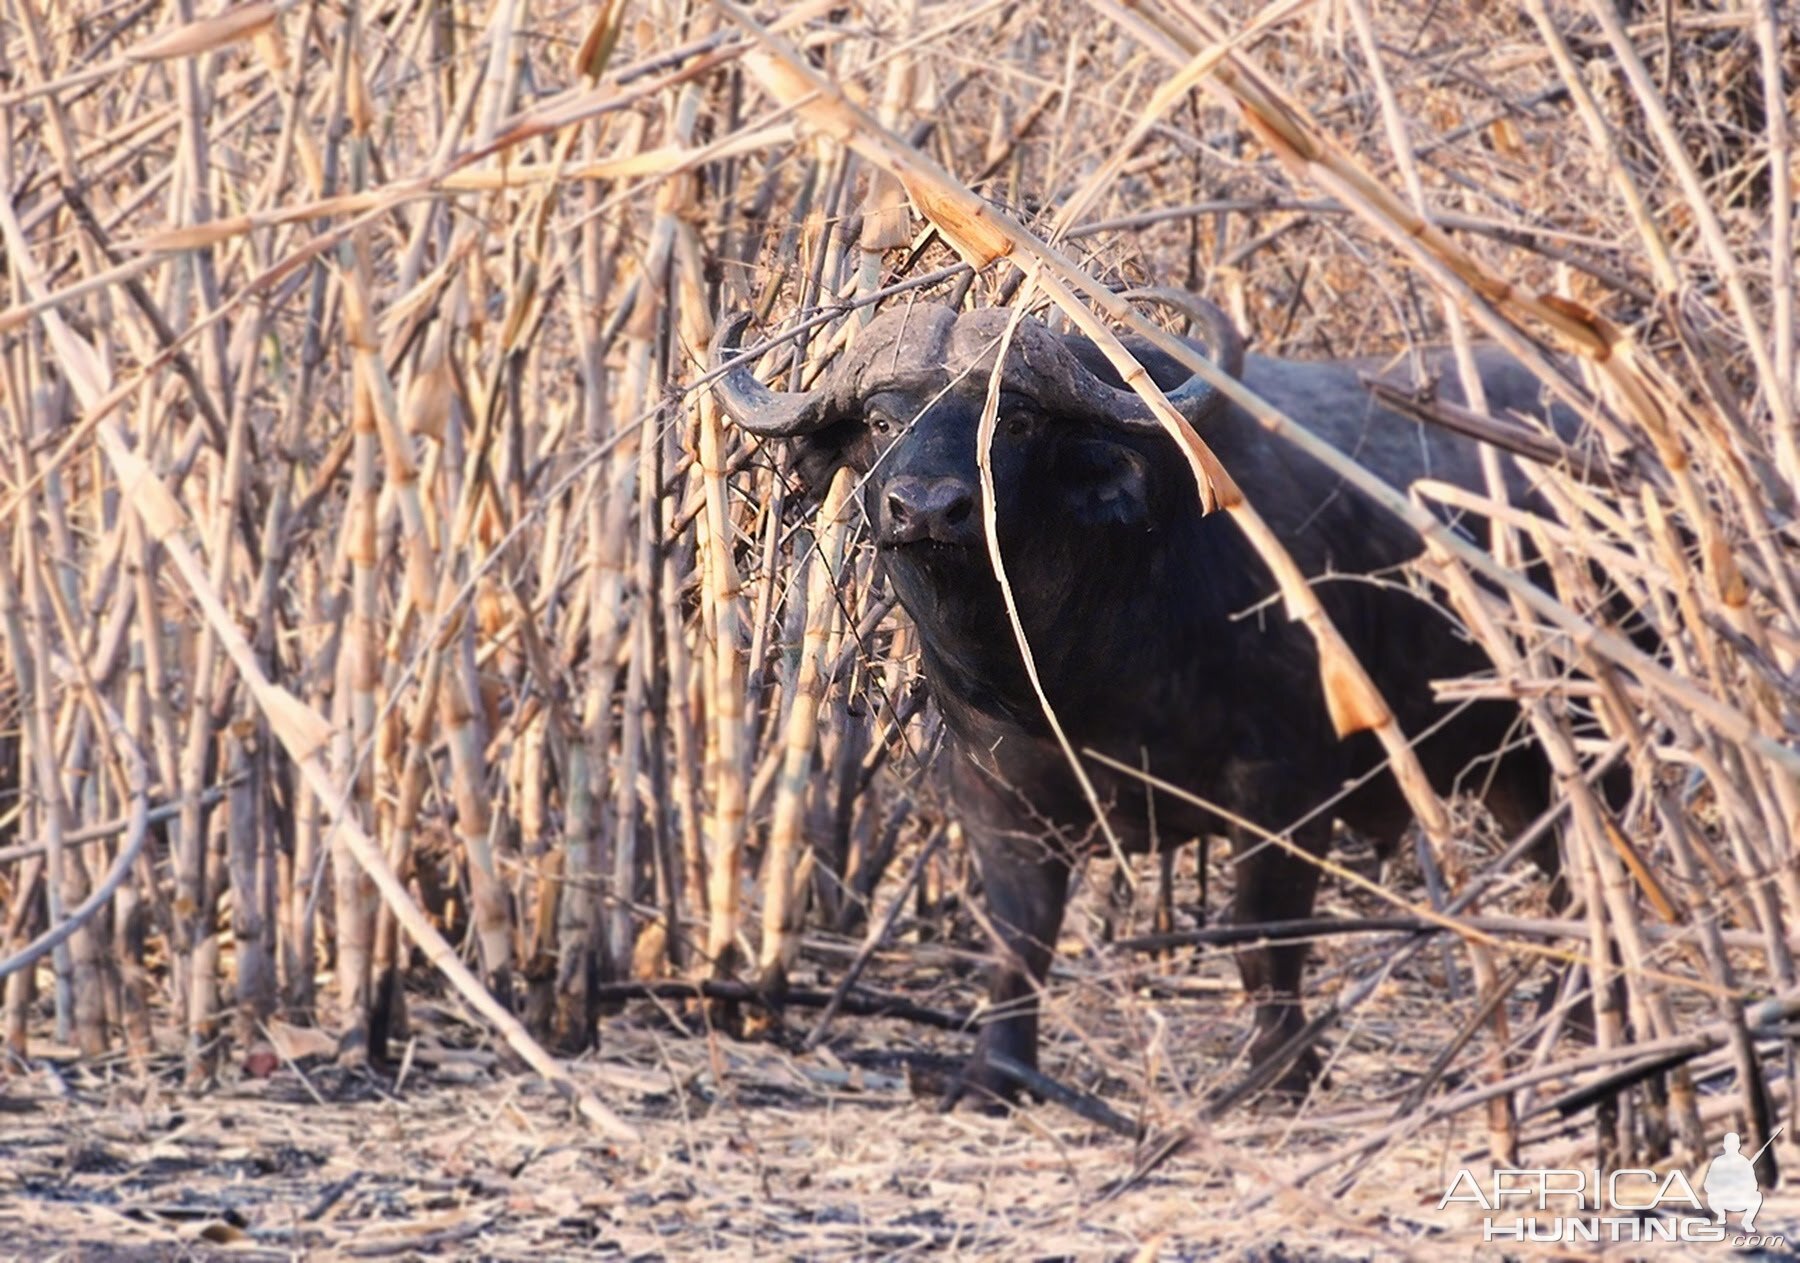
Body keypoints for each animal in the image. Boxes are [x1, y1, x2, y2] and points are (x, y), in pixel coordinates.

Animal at [702, 298, 1562, 1108]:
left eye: (1012, 421)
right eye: (883, 419)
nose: (927, 510)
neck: (1075, 665)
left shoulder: (1285, 794)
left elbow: (1265, 939)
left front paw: (1281, 1075)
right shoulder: (996, 799)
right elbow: (1018, 945)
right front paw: (992, 1076)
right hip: (1514, 770)